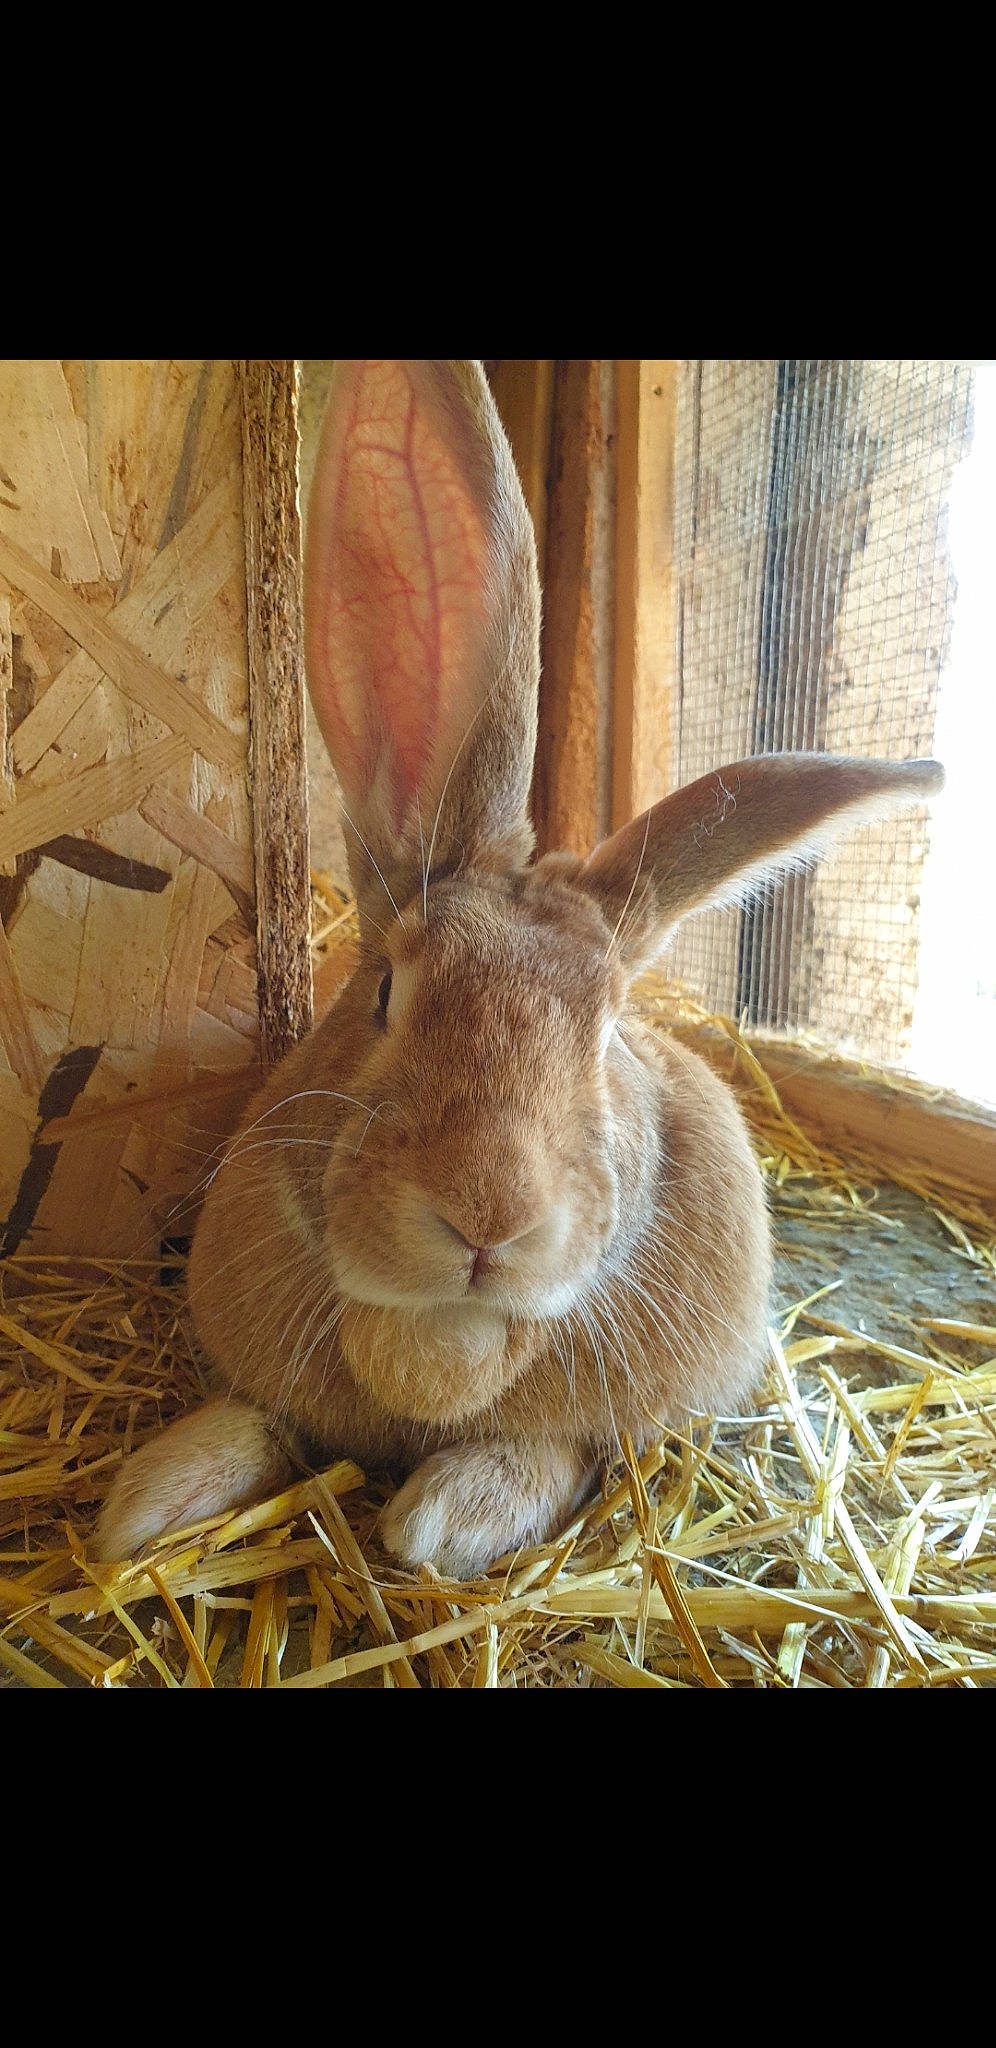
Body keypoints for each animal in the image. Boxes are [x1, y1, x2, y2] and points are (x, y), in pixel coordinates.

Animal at [94, 359, 943, 1579]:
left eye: (608, 1031)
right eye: (388, 992)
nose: (489, 1217)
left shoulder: (595, 1424)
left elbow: (551, 1456)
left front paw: (446, 1517)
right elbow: (252, 1420)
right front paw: (149, 1503)